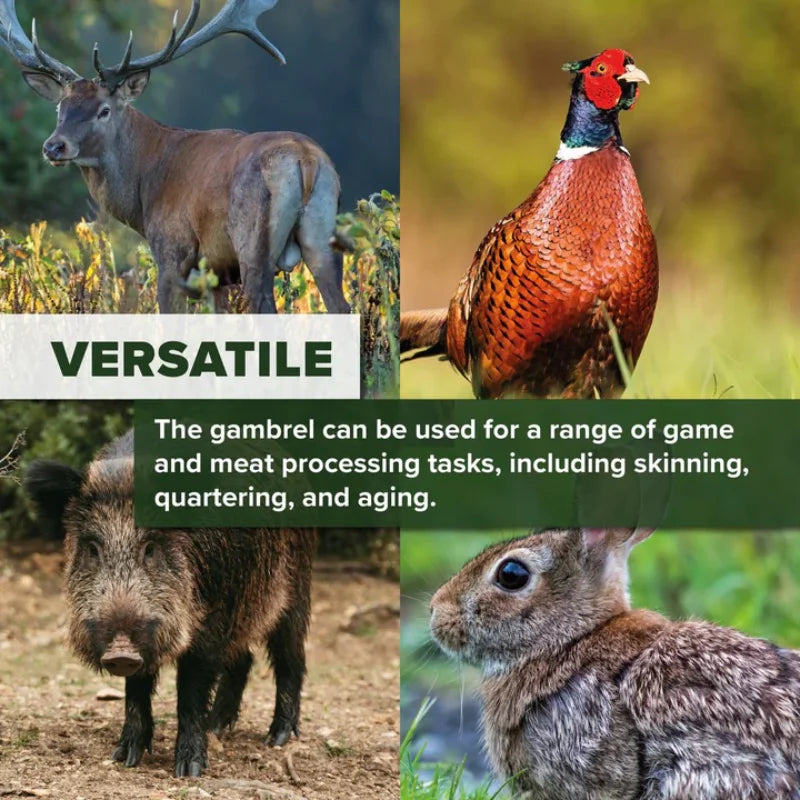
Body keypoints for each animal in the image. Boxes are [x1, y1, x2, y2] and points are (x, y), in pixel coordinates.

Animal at [0, 0, 351, 315]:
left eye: (104, 110)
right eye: (60, 108)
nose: (53, 147)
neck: (143, 194)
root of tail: (305, 159)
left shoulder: (172, 252)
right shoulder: (216, 276)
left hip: (253, 242)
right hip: (323, 235)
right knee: (340, 306)